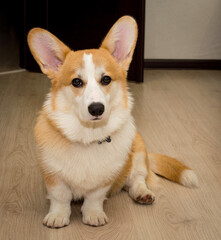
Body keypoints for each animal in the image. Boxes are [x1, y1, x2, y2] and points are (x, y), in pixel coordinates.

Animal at [27, 15, 199, 228]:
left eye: (106, 79)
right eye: (76, 82)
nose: (96, 109)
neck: (89, 136)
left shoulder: (104, 180)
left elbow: (94, 198)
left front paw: (93, 214)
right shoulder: (53, 175)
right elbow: (60, 197)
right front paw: (58, 216)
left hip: (138, 151)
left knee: (137, 180)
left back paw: (142, 193)